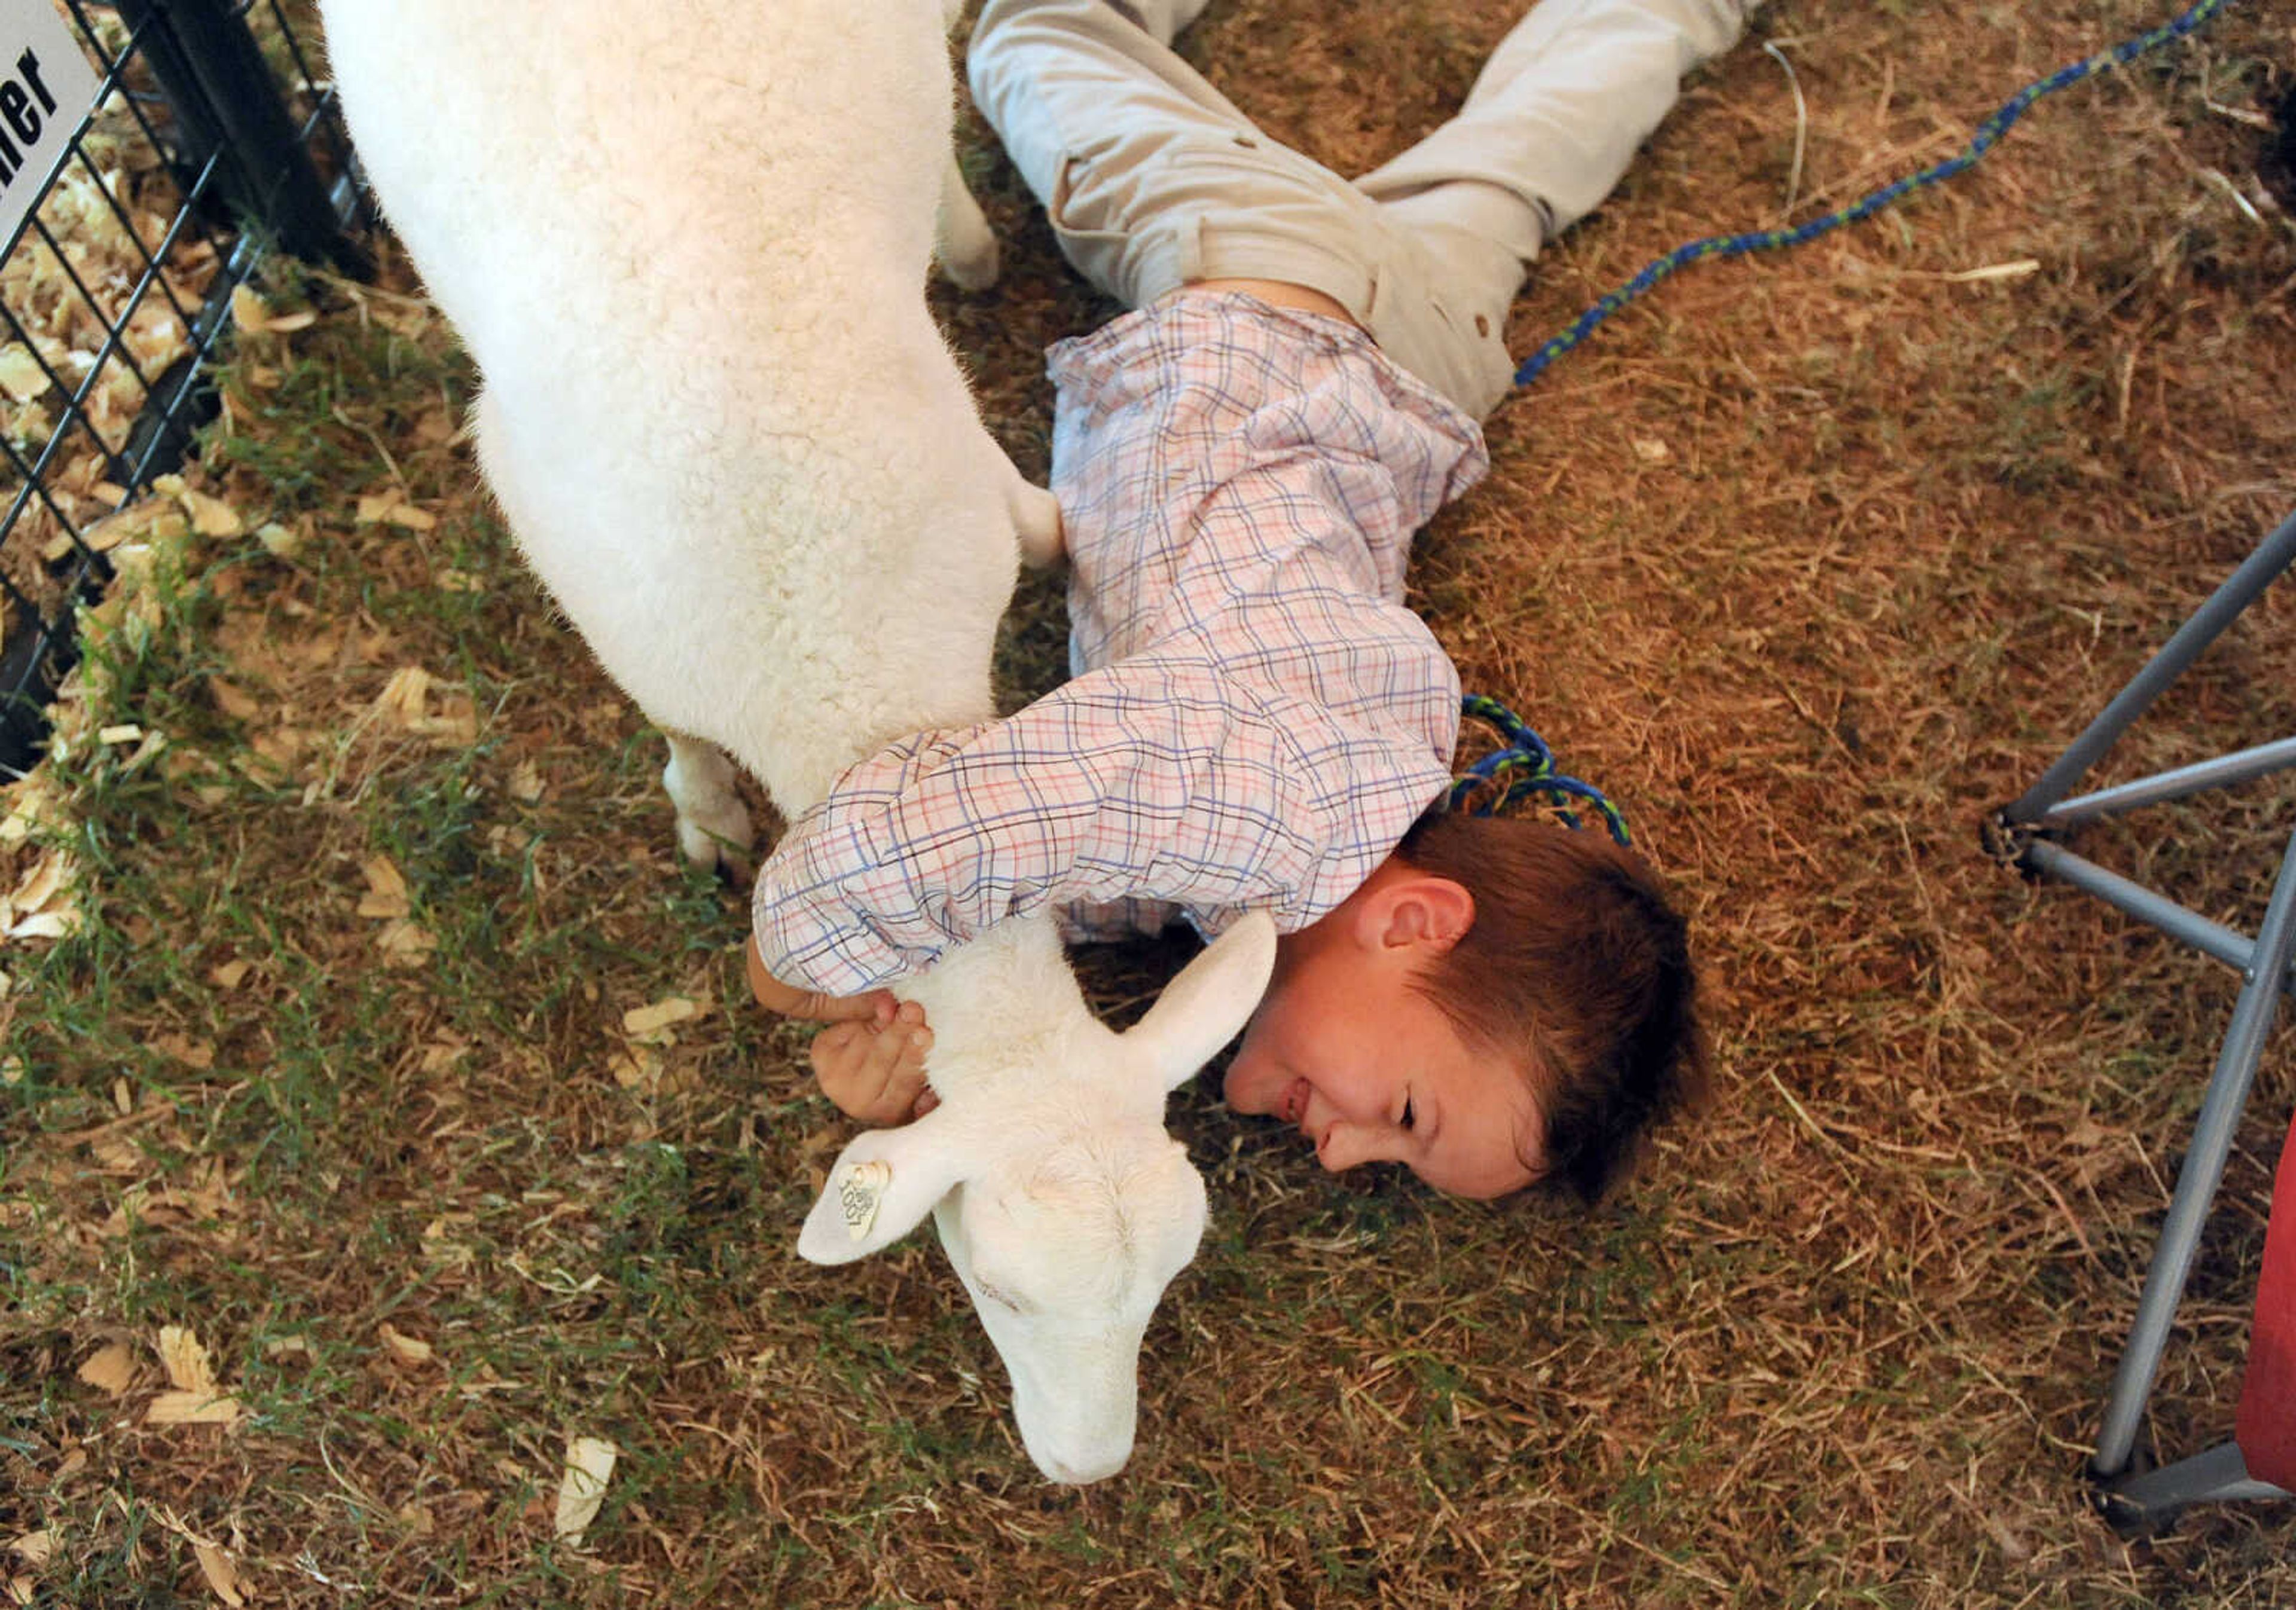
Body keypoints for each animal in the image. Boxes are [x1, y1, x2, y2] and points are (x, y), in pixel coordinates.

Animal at [316, 0, 1277, 1479]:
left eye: (1172, 1270)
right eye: (997, 1284)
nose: (1087, 1468)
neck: (846, 677)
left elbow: (1034, 529)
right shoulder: (612, 602)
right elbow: (676, 731)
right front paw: (704, 809)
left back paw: (964, 241)